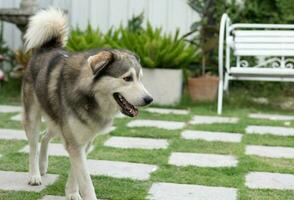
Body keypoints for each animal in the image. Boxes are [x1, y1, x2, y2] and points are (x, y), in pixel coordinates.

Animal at [22, 7, 153, 200]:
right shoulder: (75, 142)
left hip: (57, 120)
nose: (149, 99)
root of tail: (47, 48)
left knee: (45, 136)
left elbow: (75, 172)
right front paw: (79, 192)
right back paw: (34, 175)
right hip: (33, 117)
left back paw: (43, 166)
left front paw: (71, 192)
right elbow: (85, 180)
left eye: (140, 78)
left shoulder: (83, 141)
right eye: (127, 78)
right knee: (33, 145)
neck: (91, 97)